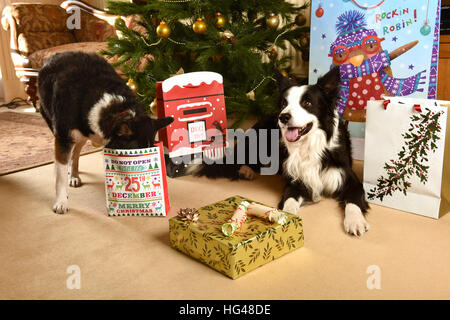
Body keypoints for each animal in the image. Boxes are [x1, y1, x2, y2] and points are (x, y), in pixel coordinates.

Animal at [38, 52, 172, 212]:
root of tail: (57, 55)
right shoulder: (63, 137)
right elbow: (60, 175)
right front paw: (61, 202)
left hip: (82, 135)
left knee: (76, 151)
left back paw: (74, 175)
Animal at [192, 67, 370, 236]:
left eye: (307, 103)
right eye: (284, 103)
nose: (283, 117)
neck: (309, 146)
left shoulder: (349, 179)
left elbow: (353, 201)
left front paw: (355, 221)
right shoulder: (295, 182)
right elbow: (289, 202)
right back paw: (246, 170)